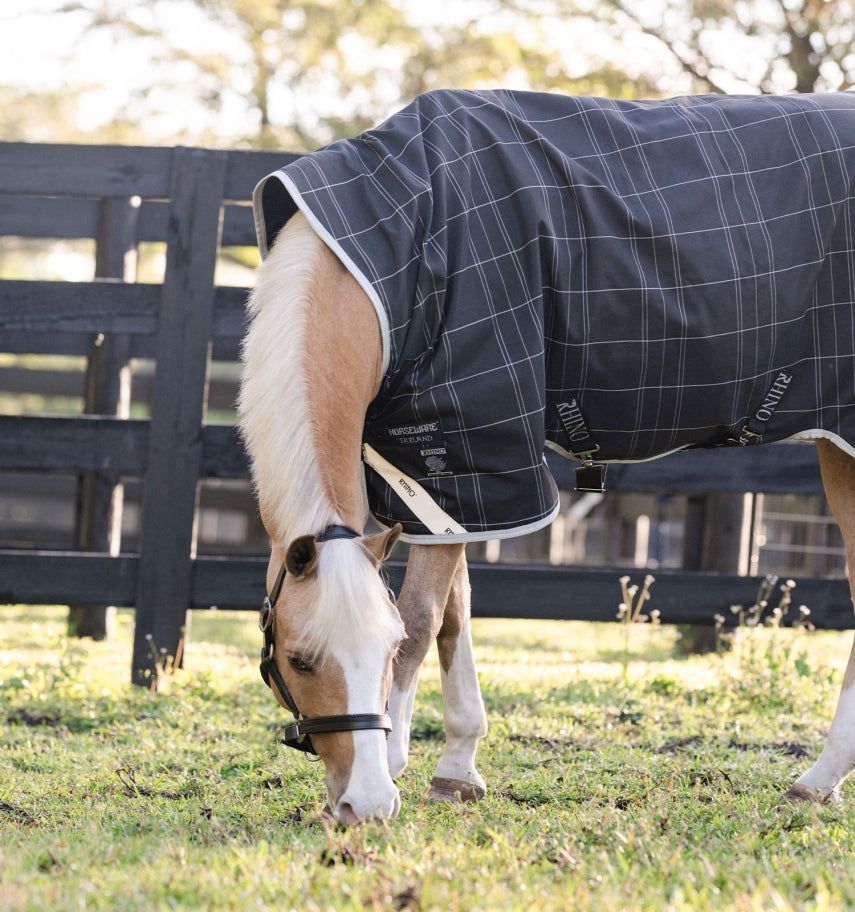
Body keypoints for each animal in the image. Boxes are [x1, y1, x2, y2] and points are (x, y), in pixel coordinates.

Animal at [239, 89, 855, 824]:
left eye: (381, 653)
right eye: (300, 661)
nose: (365, 805)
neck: (395, 254)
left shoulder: (473, 447)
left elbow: (422, 619)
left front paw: (397, 762)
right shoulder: (441, 480)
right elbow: (454, 614)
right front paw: (457, 769)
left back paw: (819, 778)